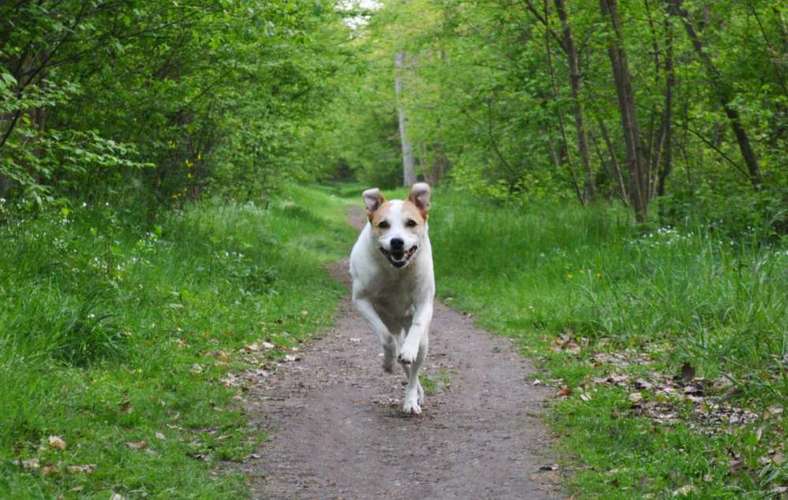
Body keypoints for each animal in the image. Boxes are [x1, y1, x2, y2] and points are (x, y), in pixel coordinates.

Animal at [350, 183, 438, 414]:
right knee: (399, 353)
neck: (396, 271)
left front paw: (408, 350)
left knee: (413, 370)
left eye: (411, 223)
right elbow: (386, 338)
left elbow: (417, 326)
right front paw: (388, 363)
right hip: (392, 324)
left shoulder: (425, 301)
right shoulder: (361, 301)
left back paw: (411, 400)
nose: (397, 241)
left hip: (423, 343)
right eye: (383, 224)